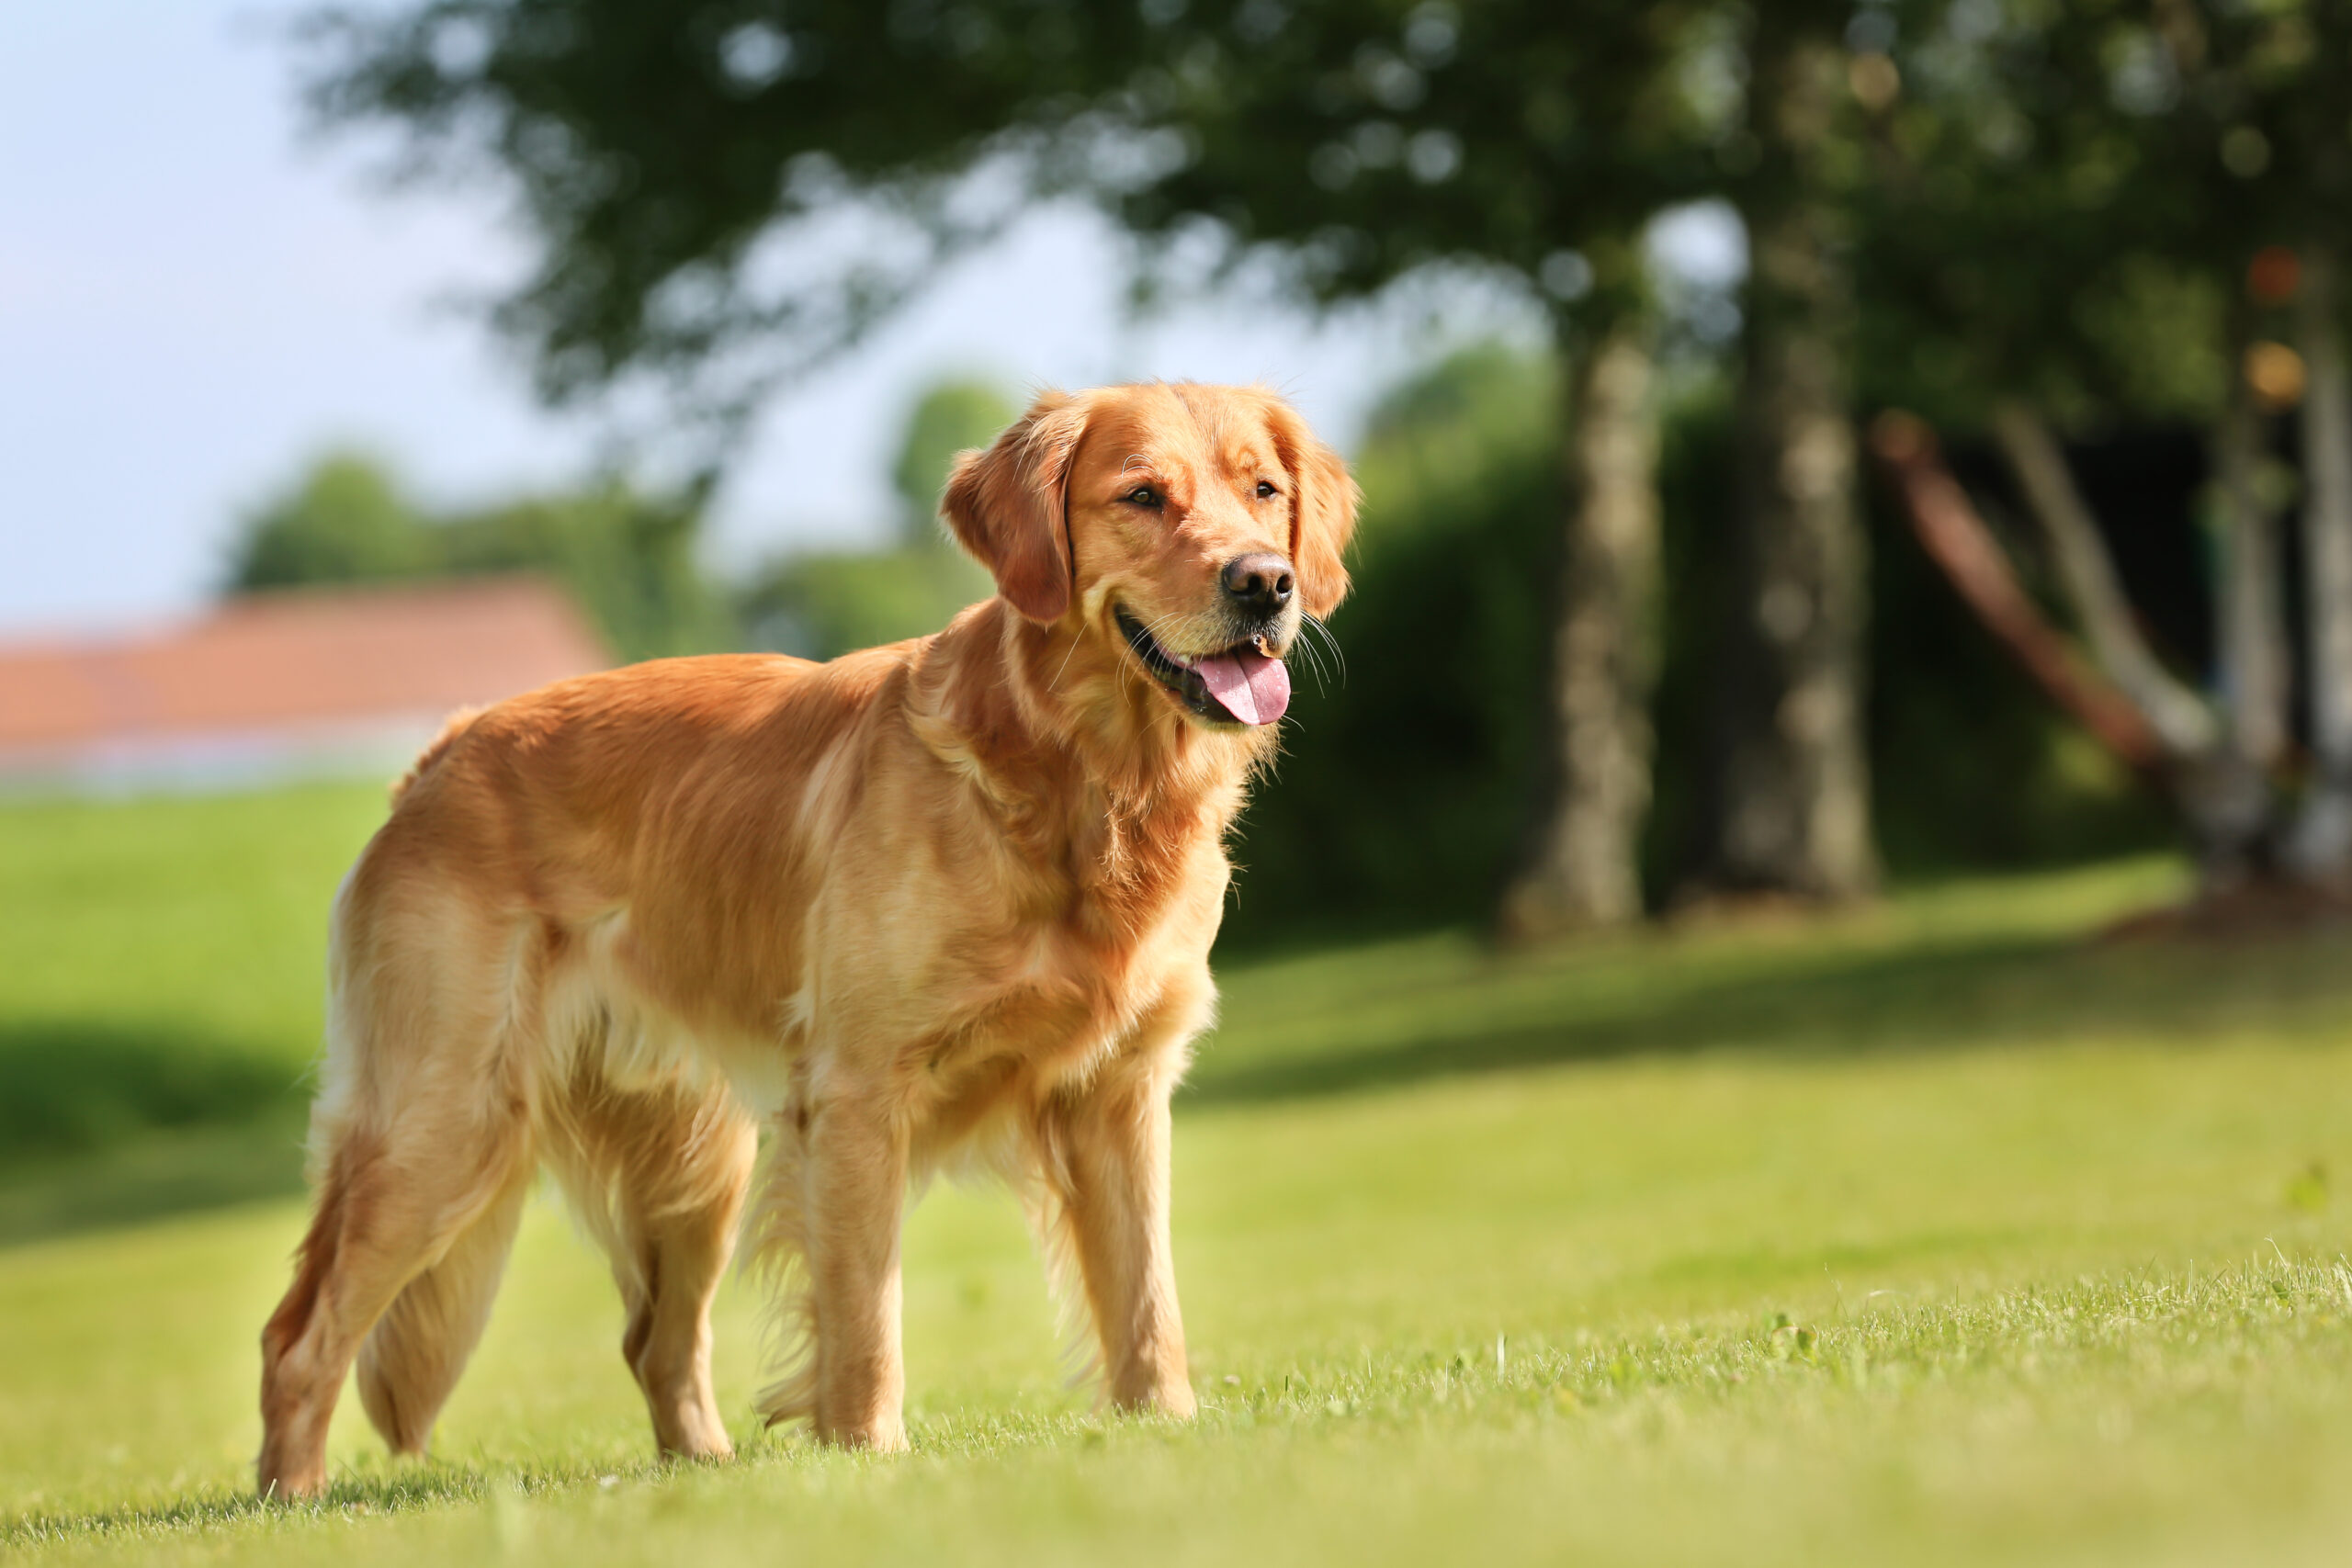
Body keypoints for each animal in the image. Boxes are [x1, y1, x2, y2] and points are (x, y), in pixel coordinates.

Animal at [253, 376, 1363, 1495]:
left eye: (1263, 492)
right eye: (1141, 496)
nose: (1266, 584)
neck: (1080, 777)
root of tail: (441, 751)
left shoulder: (1120, 1089)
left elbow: (1147, 1301)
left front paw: (1166, 1429)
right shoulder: (860, 1091)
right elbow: (866, 1315)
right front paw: (869, 1457)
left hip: (694, 1157)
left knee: (655, 1341)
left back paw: (703, 1470)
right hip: (446, 1119)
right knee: (298, 1339)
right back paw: (293, 1500)